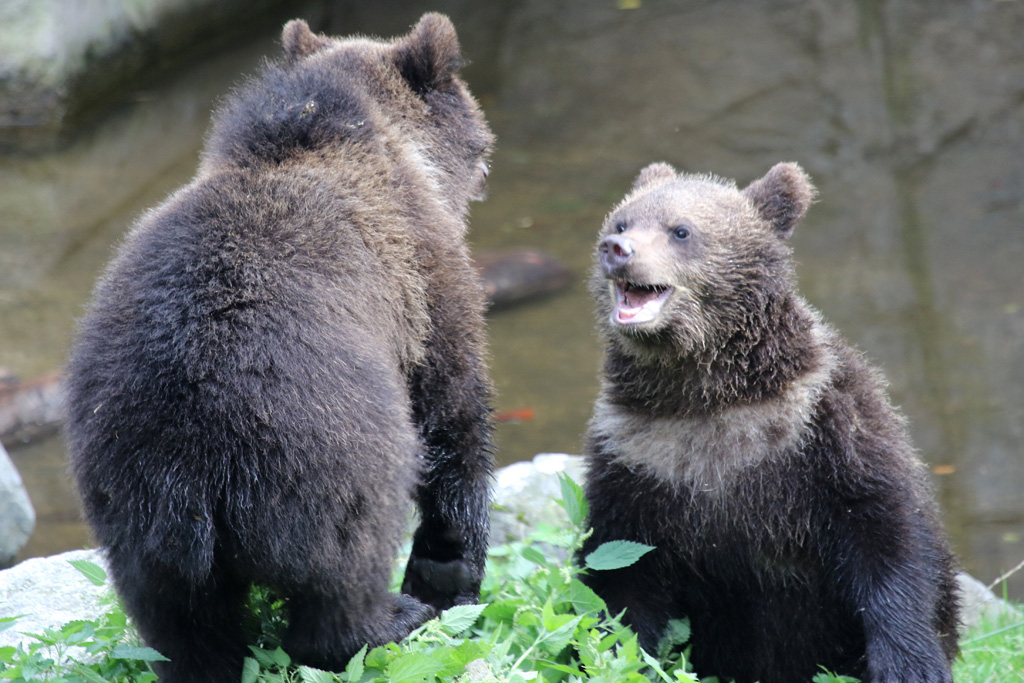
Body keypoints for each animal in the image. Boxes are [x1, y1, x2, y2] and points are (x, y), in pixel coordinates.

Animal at [63, 15, 495, 683]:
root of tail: (191, 456)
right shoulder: (425, 286)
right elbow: (453, 413)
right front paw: (450, 577)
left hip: (124, 487)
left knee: (182, 622)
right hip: (320, 450)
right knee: (343, 568)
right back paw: (389, 620)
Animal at [578, 162, 960, 683]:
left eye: (681, 230)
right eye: (621, 221)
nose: (617, 249)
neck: (702, 393)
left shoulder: (823, 426)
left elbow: (886, 534)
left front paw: (908, 664)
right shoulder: (637, 454)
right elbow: (618, 571)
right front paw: (612, 654)